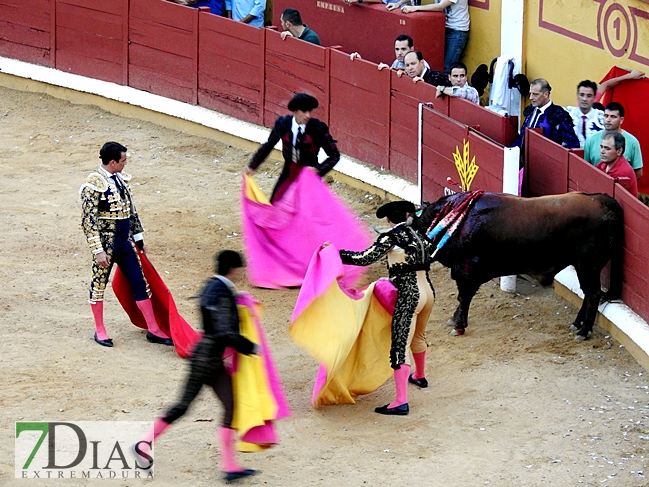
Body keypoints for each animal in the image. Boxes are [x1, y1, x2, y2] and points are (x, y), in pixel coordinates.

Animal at [410, 191, 624, 340]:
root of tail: (602, 199)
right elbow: (462, 299)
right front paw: (454, 320)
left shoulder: (467, 271)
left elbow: (464, 298)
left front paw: (458, 326)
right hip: (586, 267)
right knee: (589, 293)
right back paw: (577, 324)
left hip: (588, 265)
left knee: (593, 294)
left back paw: (584, 331)